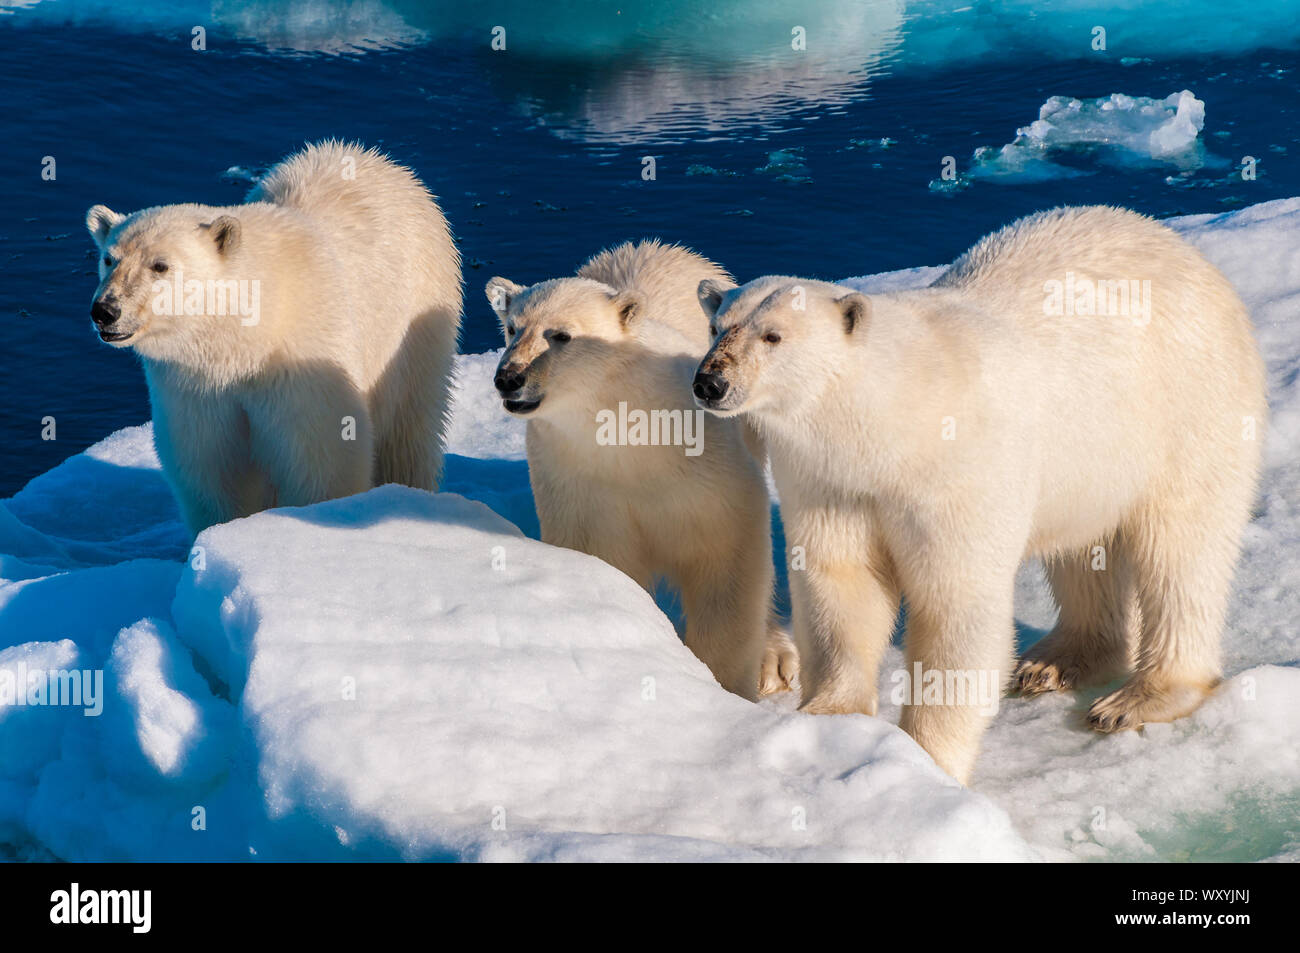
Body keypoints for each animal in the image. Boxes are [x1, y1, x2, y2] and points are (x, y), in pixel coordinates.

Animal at [85, 141, 461, 536]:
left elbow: (322, 457)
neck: (248, 338)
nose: (105, 310)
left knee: (409, 429)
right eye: (109, 258)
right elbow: (212, 469)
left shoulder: (303, 365)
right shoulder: (197, 388)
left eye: (160, 265)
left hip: (416, 320)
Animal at [484, 240, 796, 700]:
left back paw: (773, 658)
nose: (509, 378)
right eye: (511, 328)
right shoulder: (580, 479)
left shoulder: (705, 463)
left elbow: (726, 557)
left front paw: (726, 683)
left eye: (560, 335)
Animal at [693, 206, 1267, 783]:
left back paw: (1137, 698)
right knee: (1084, 550)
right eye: (716, 328)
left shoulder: (956, 473)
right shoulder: (831, 483)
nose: (709, 382)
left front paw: (927, 760)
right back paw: (1054, 662)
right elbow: (844, 582)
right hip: (1091, 462)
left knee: (1181, 550)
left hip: (1188, 407)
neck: (893, 422)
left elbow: (955, 603)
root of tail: (1189, 254)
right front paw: (832, 717)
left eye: (773, 336)